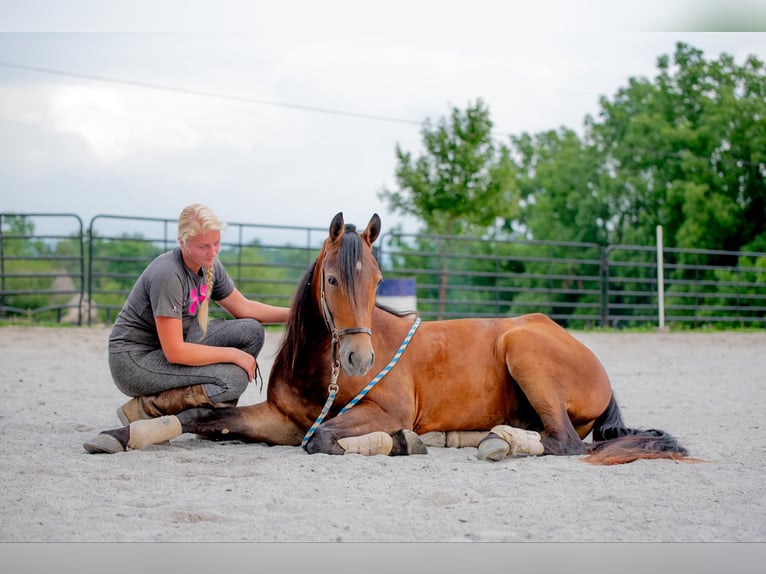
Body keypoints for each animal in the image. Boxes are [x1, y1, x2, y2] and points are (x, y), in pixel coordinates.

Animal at [84, 214, 688, 466]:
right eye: (331, 280)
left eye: (376, 280)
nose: (360, 355)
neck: (322, 370)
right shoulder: (280, 420)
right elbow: (198, 418)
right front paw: (120, 435)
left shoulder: (378, 411)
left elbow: (327, 438)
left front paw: (400, 443)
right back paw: (473, 437)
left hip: (524, 350)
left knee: (563, 442)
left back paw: (495, 444)